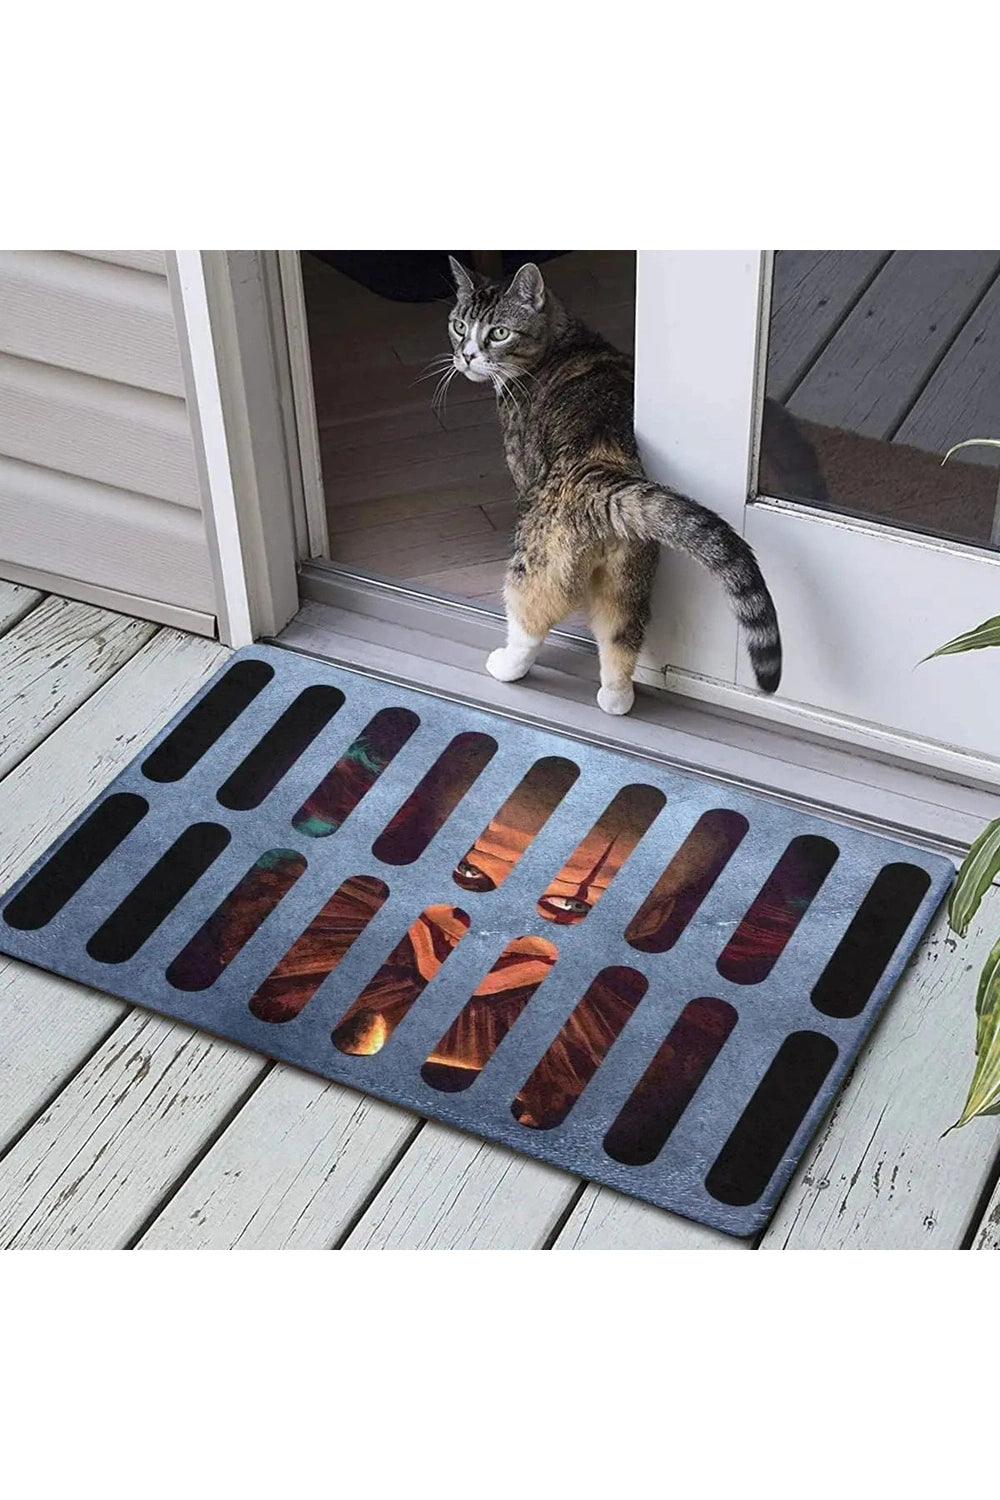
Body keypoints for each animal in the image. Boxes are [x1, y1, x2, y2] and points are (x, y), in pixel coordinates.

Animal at [446, 258, 779, 714]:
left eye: (498, 333)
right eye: (459, 325)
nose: (466, 355)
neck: (562, 341)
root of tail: (604, 482)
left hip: (537, 559)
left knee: (529, 614)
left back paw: (507, 665)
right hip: (627, 578)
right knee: (620, 633)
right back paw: (616, 698)